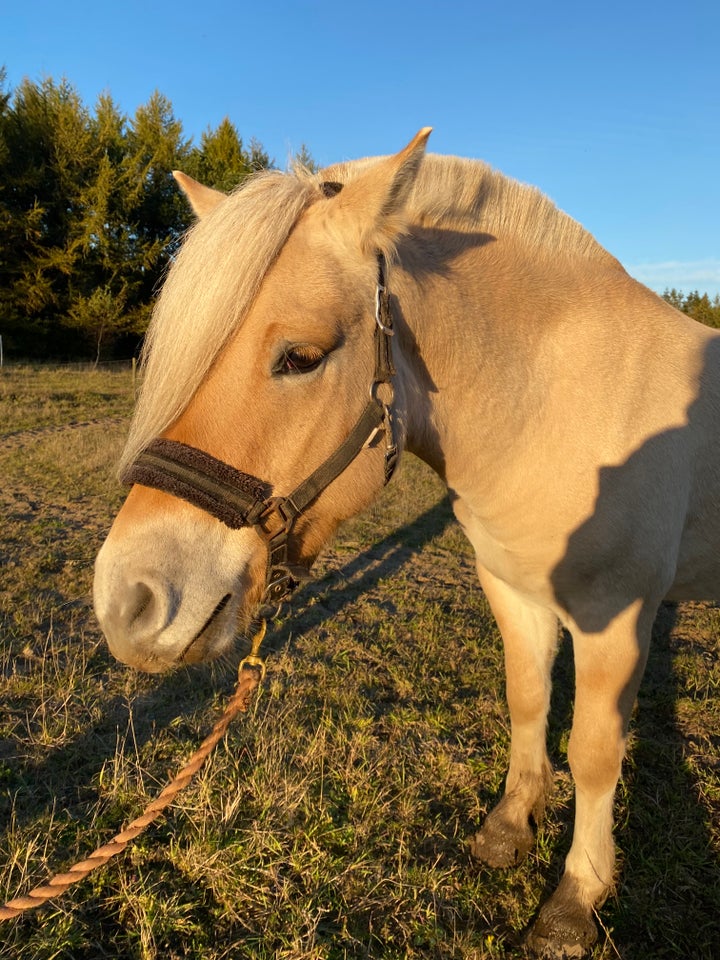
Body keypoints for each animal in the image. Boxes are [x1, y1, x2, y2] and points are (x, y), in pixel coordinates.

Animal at [94, 129, 720, 960]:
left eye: (301, 356)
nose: (127, 602)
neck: (558, 401)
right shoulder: (513, 590)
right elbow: (526, 700)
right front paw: (509, 828)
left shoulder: (615, 618)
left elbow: (594, 753)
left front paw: (574, 900)